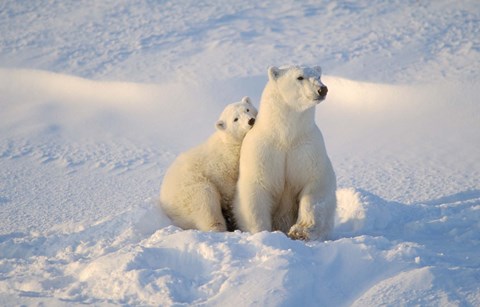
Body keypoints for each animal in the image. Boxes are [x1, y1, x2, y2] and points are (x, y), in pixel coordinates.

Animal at [234, 66, 336, 242]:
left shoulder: (307, 149)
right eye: (300, 77)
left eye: (319, 76)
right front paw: (262, 232)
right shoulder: (263, 152)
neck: (286, 136)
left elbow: (315, 185)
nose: (322, 89)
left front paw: (300, 231)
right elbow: (256, 189)